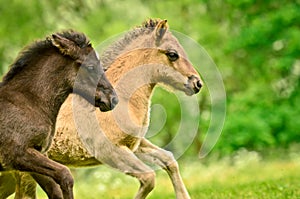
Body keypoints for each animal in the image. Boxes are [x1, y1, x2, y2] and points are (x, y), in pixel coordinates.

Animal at [0, 30, 117, 198]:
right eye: (90, 66)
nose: (113, 99)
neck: (31, 101)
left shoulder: (36, 153)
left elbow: (54, 189)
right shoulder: (17, 154)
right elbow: (65, 175)